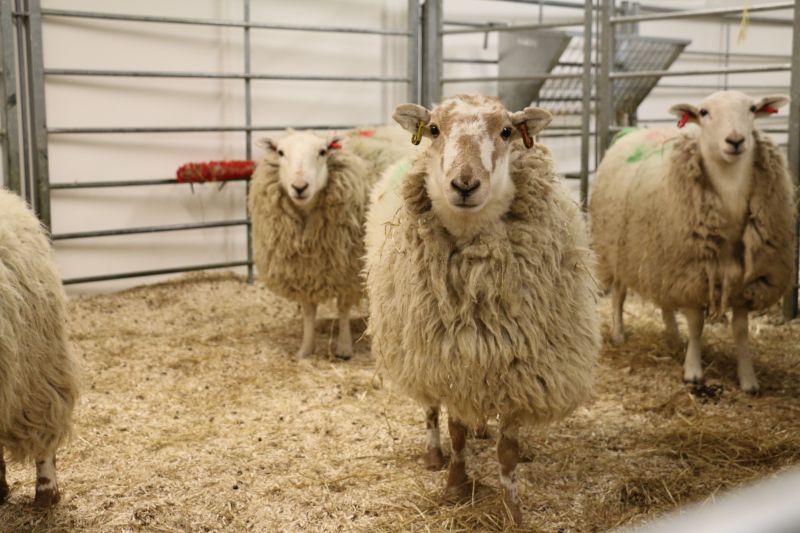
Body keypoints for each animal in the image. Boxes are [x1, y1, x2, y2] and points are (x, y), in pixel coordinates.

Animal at [249, 130, 375, 360]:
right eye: (280, 152)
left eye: (323, 151)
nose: (299, 187)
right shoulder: (304, 273)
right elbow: (308, 312)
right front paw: (305, 350)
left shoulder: (348, 272)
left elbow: (343, 308)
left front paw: (344, 348)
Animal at [364, 94, 600, 524]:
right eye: (434, 129)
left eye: (506, 131)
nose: (464, 184)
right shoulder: (452, 359)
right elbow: (455, 429)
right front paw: (456, 487)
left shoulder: (518, 370)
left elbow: (507, 450)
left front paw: (513, 510)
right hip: (417, 348)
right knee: (430, 410)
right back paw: (433, 453)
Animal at [590, 90, 796, 392]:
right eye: (704, 112)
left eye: (752, 108)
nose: (735, 140)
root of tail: (633, 132)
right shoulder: (692, 272)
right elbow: (697, 325)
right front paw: (693, 371)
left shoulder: (747, 280)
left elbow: (741, 330)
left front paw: (748, 379)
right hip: (618, 248)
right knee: (618, 293)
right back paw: (618, 333)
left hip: (660, 257)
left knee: (664, 298)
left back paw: (673, 335)